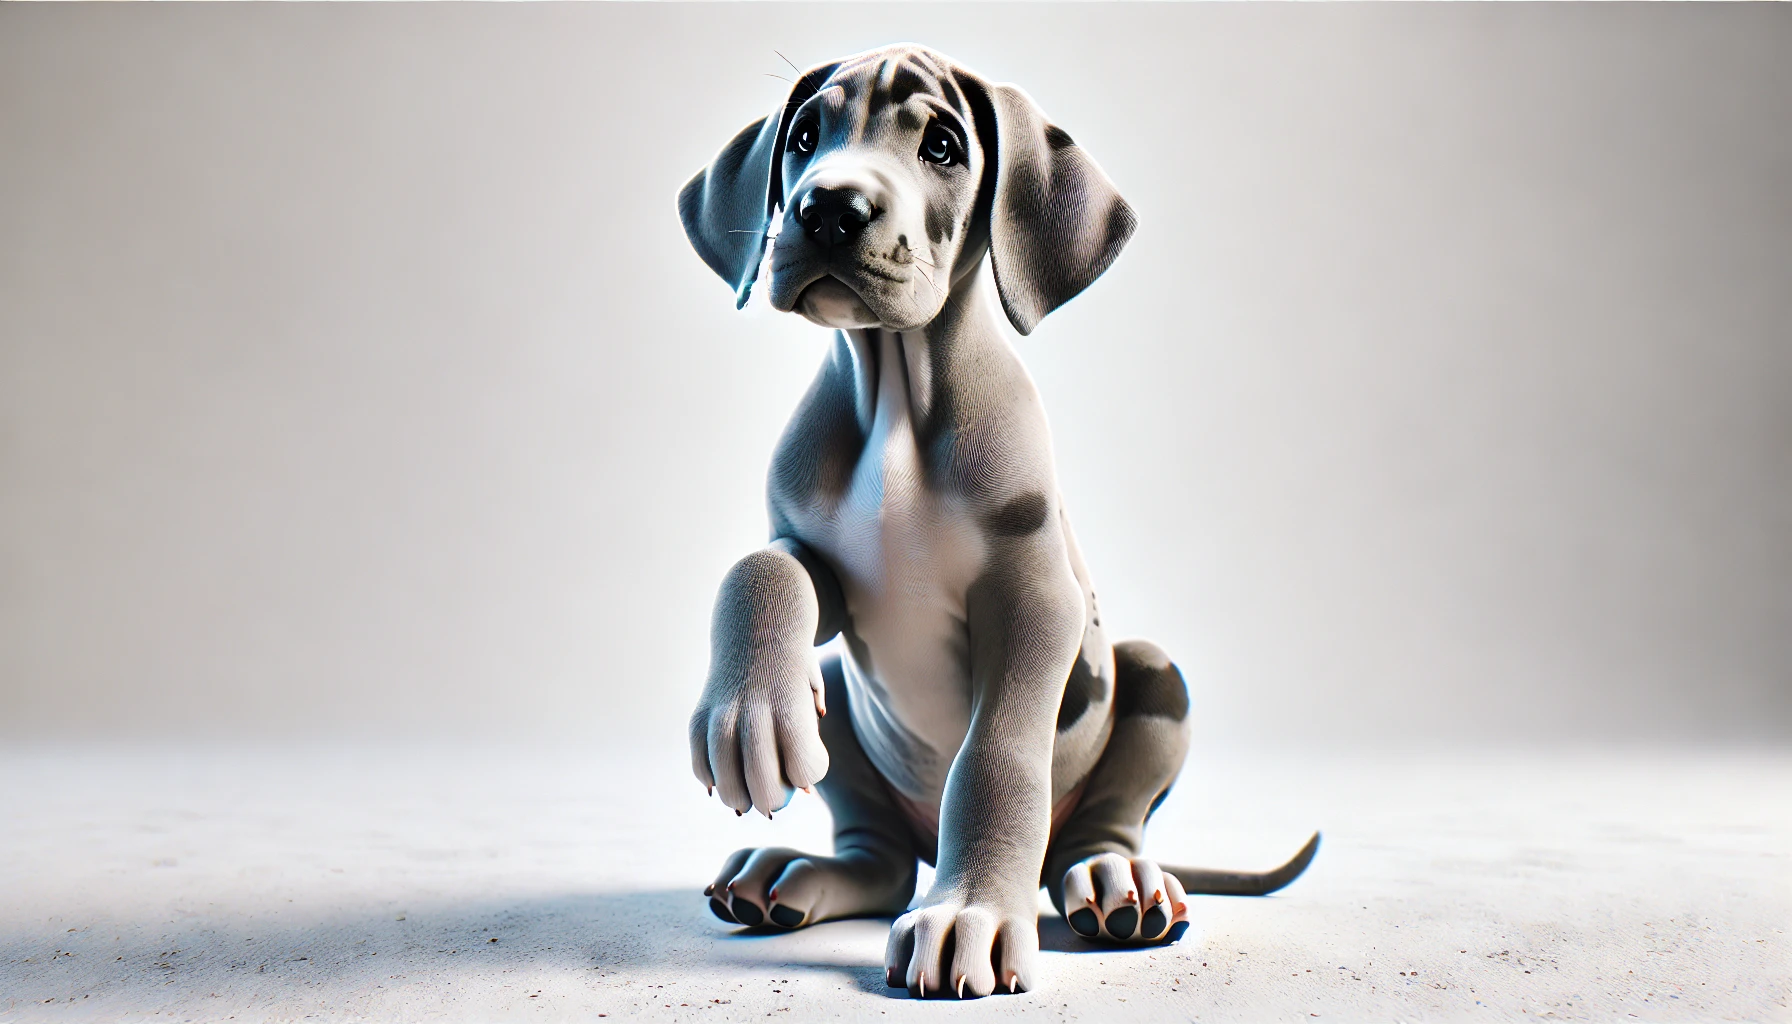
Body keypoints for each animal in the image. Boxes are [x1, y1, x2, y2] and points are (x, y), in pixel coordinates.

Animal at [677, 44, 1311, 997]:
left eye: (941, 144)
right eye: (803, 137)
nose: (827, 208)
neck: (898, 399)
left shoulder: (1032, 601)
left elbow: (998, 758)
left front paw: (968, 911)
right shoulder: (836, 585)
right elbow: (762, 567)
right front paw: (746, 715)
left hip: (1153, 677)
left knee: (1093, 833)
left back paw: (1118, 881)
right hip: (842, 699)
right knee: (881, 860)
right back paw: (797, 871)